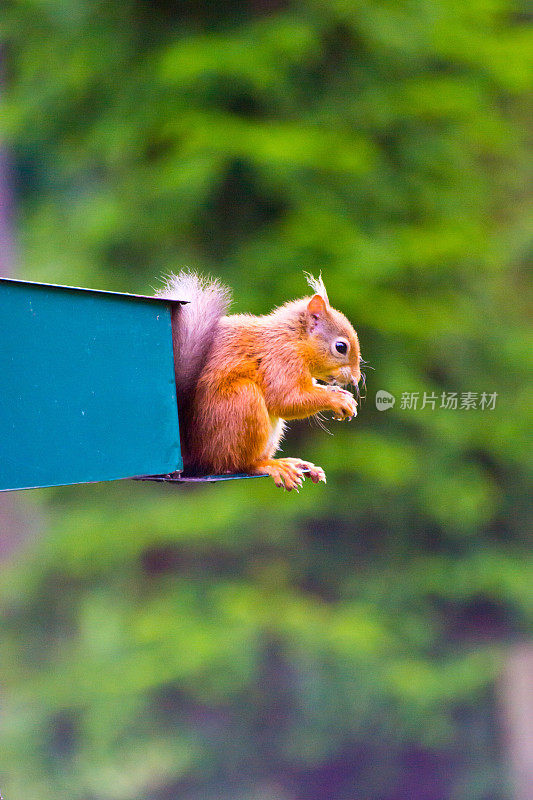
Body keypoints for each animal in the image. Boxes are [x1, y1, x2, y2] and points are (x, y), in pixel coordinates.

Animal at [156, 272, 360, 490]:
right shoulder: (281, 359)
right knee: (237, 464)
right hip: (242, 402)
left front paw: (342, 394)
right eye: (341, 347)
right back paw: (270, 465)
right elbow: (287, 399)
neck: (294, 339)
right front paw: (337, 400)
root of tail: (196, 458)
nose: (356, 379)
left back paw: (297, 464)